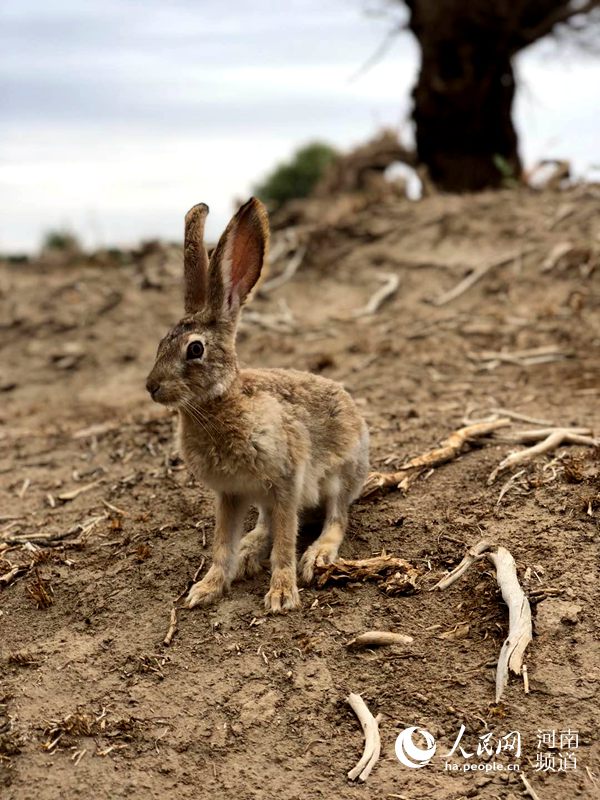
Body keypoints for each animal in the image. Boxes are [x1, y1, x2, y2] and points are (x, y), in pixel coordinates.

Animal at [148, 198, 368, 612]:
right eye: (160, 344)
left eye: (195, 349)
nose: (151, 387)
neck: (221, 402)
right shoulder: (231, 494)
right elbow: (222, 546)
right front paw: (206, 588)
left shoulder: (285, 482)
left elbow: (284, 543)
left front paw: (282, 594)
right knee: (266, 526)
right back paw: (249, 551)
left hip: (341, 475)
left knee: (336, 519)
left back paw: (316, 555)